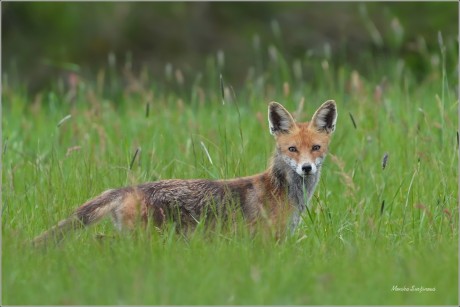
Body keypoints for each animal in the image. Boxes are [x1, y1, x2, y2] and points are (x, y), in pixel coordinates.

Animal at [31, 100, 334, 247]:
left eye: (316, 148)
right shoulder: (267, 241)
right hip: (144, 240)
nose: (306, 168)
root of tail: (127, 189)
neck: (283, 191)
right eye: (292, 149)